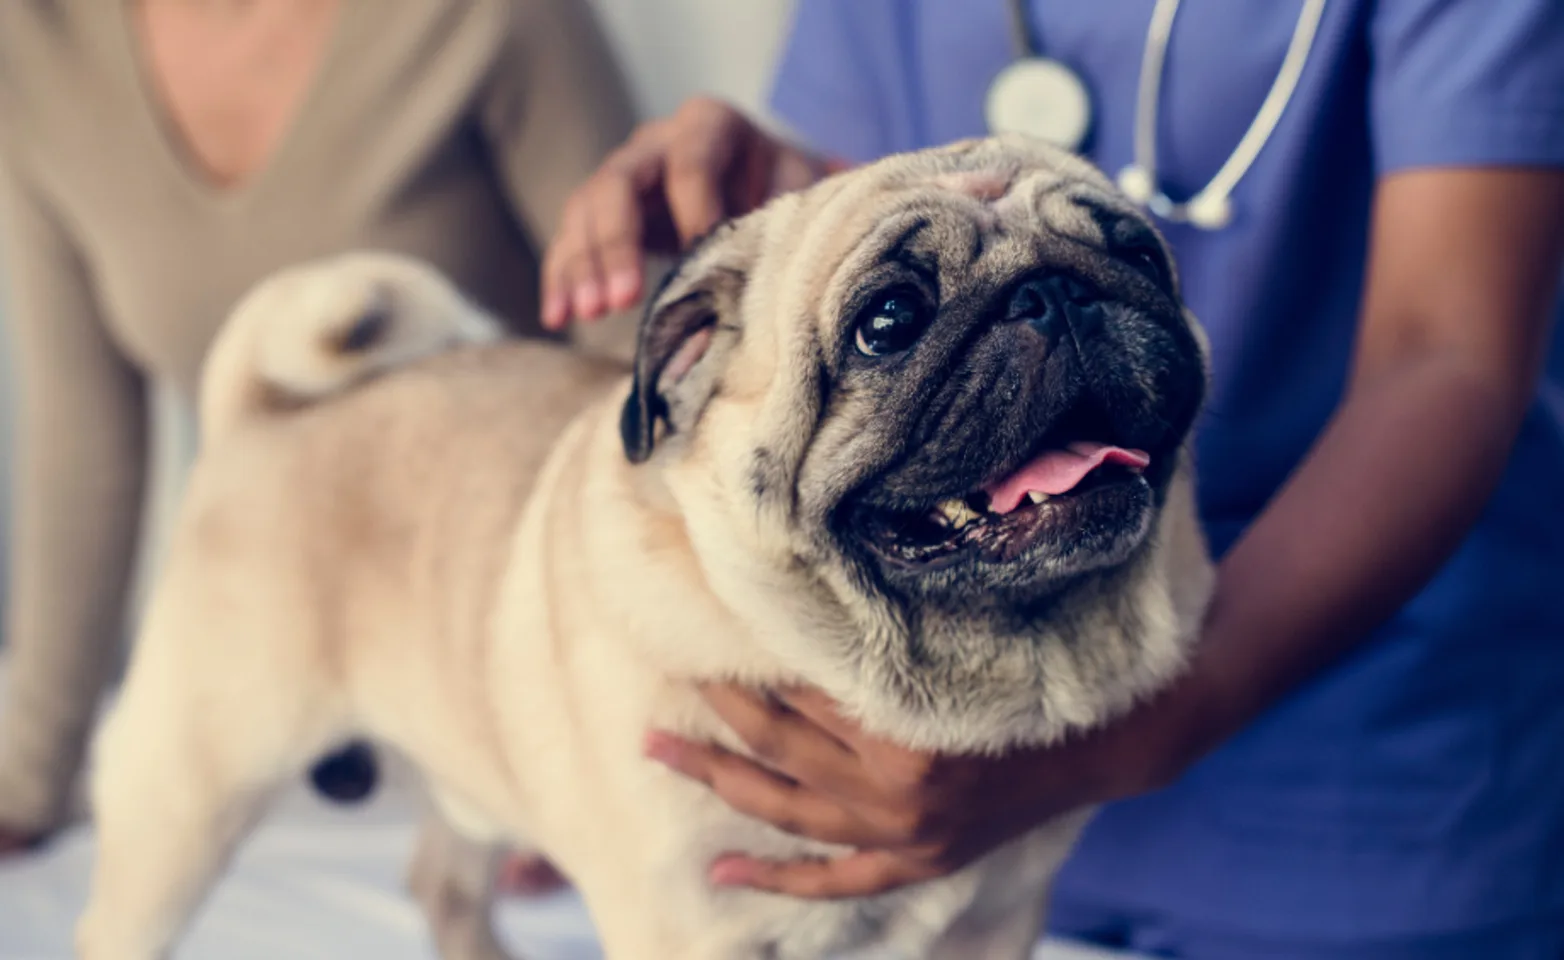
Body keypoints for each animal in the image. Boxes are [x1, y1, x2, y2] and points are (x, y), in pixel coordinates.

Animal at [79, 135, 1213, 960]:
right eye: (889, 320)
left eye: (1139, 255)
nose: (1054, 292)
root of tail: (259, 417)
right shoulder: (693, 930)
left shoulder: (995, 923)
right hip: (187, 795)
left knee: (442, 882)